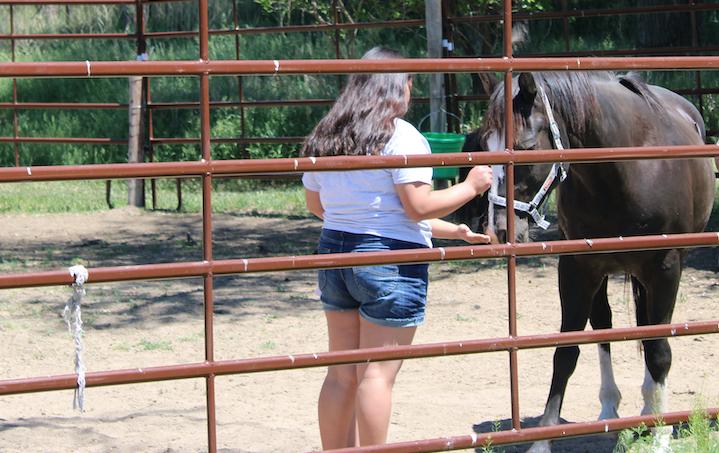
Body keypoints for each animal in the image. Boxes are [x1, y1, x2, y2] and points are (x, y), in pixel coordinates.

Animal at [462, 71, 716, 452]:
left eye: (524, 147)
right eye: (483, 145)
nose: (498, 229)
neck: (627, 170)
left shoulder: (665, 269)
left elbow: (659, 348)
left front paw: (660, 434)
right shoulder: (577, 268)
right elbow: (566, 352)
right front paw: (542, 440)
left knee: (648, 334)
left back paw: (651, 412)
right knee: (606, 326)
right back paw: (611, 409)